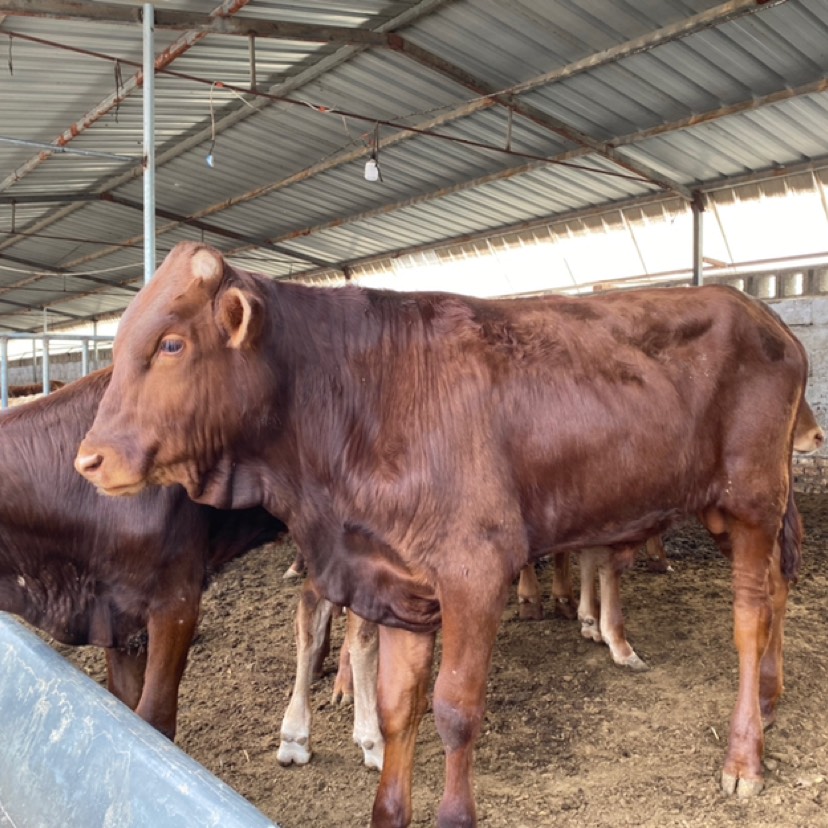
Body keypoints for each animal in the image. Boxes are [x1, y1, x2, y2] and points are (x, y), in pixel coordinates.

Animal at [76, 244, 808, 828]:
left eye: (171, 343)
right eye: (119, 341)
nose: (89, 459)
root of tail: (765, 316)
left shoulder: (475, 572)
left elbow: (454, 710)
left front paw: (454, 814)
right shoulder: (395, 580)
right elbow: (398, 707)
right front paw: (386, 806)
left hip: (752, 501)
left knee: (749, 616)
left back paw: (745, 756)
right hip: (733, 512)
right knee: (775, 592)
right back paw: (772, 702)